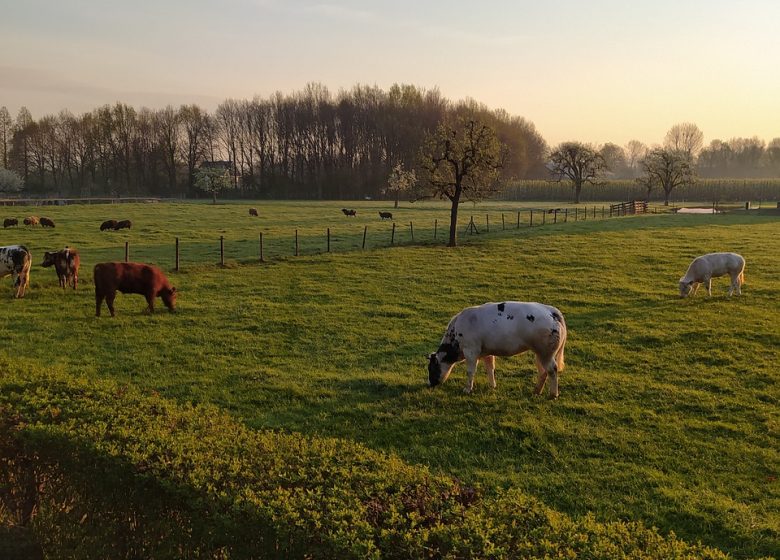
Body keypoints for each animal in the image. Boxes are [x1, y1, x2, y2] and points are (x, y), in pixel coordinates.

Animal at [428, 301, 567, 398]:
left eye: (431, 368)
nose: (430, 384)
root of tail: (551, 311)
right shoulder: (486, 352)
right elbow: (490, 368)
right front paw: (492, 385)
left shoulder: (471, 351)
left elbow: (470, 372)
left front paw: (467, 389)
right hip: (539, 353)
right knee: (543, 372)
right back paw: (537, 391)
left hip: (546, 352)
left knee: (552, 370)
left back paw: (553, 394)